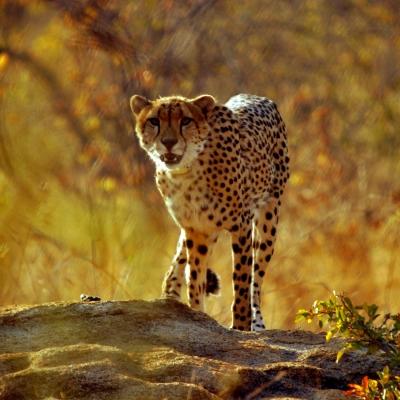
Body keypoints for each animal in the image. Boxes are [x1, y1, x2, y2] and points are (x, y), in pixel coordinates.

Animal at [130, 94, 290, 332]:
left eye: (186, 120)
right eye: (154, 121)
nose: (169, 142)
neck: (186, 172)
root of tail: (258, 97)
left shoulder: (241, 227)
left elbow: (242, 282)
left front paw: (240, 325)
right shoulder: (196, 229)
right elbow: (195, 279)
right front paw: (197, 314)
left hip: (268, 222)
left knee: (256, 280)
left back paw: (257, 322)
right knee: (179, 265)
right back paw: (170, 296)